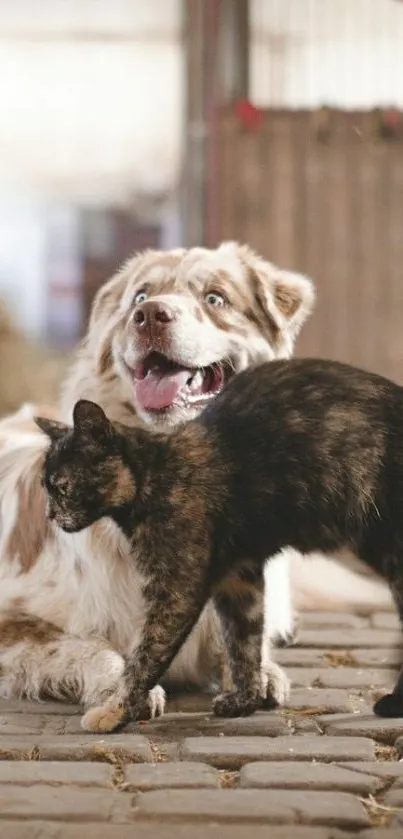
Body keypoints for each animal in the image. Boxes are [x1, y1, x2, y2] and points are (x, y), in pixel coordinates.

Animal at [36, 358, 403, 732]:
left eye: (62, 487)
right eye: (44, 487)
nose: (50, 515)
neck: (157, 475)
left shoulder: (177, 590)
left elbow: (144, 656)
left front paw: (115, 712)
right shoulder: (238, 577)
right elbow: (243, 640)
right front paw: (246, 699)